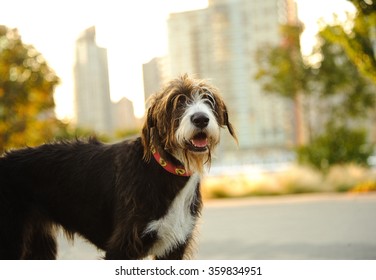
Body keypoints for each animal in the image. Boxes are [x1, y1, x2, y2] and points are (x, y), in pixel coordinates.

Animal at [0, 74, 235, 260]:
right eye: (176, 102)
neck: (164, 171)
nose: (201, 119)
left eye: (209, 100)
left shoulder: (174, 248)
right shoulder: (121, 248)